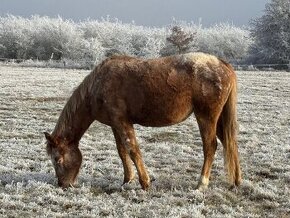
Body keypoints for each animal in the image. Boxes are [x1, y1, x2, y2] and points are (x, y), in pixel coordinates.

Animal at [44, 52, 241, 191]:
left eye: (57, 159)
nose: (63, 185)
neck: (98, 85)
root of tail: (222, 64)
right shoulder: (115, 124)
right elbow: (122, 151)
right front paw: (127, 180)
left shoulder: (122, 122)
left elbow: (133, 149)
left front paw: (144, 182)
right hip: (219, 120)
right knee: (230, 143)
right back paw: (236, 181)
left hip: (206, 117)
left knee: (210, 147)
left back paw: (201, 184)